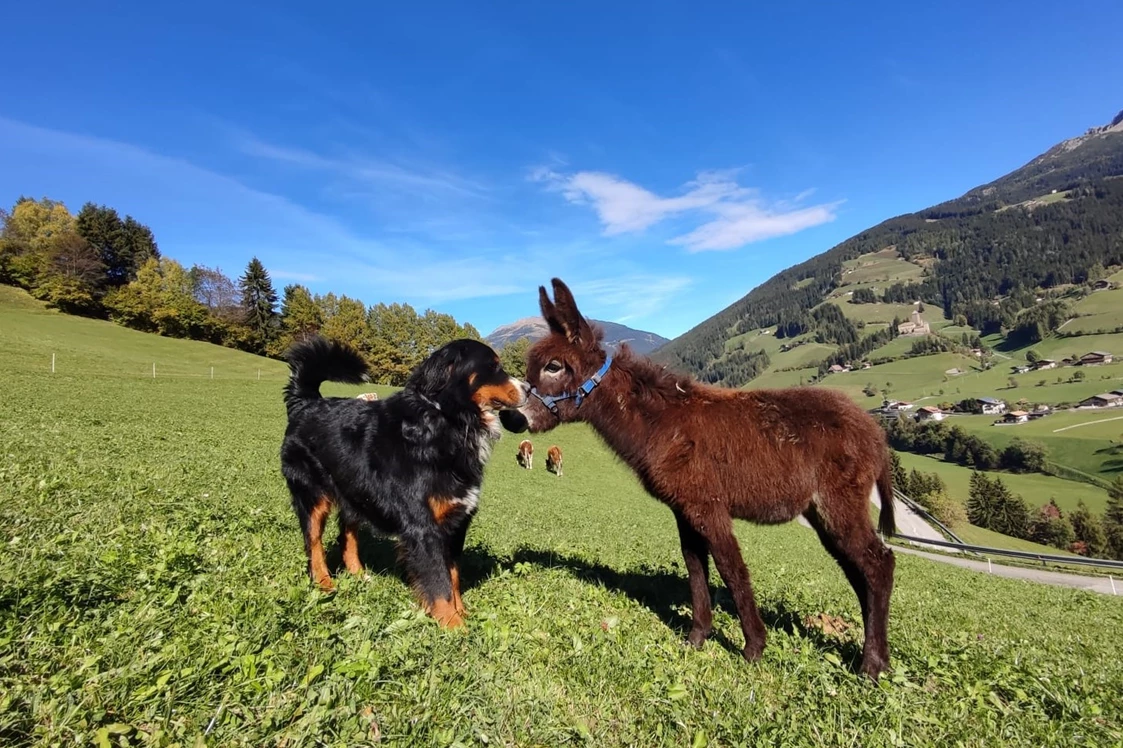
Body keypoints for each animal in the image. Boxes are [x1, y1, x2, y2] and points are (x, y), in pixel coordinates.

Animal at [278, 332, 527, 624]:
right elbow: (440, 583)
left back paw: (359, 576)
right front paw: (454, 625)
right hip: (312, 494)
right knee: (314, 543)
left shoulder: (456, 523)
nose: (529, 388)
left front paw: (461, 612)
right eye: (494, 366)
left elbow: (453, 575)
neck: (448, 419)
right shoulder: (423, 526)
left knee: (347, 535)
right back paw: (324, 583)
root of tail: (307, 402)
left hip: (355, 493)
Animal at [500, 276, 893, 678]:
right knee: (858, 570)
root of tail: (874, 431)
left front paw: (754, 647)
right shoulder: (685, 510)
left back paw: (871, 665)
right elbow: (695, 569)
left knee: (879, 564)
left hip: (838, 503)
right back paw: (874, 655)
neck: (661, 425)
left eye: (553, 366)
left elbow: (732, 570)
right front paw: (697, 637)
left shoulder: (709, 507)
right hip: (823, 513)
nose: (510, 418)